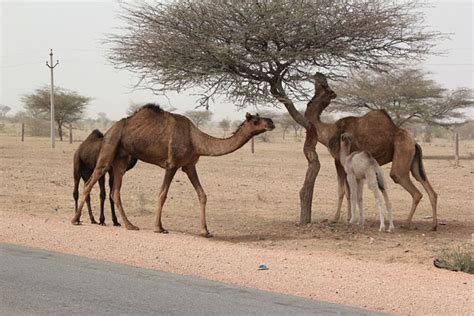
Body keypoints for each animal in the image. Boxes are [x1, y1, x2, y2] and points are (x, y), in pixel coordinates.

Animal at [306, 75, 438, 231]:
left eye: (324, 88)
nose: (316, 76)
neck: (328, 132)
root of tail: (415, 143)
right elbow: (349, 192)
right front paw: (349, 217)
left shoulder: (339, 161)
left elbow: (343, 191)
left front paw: (338, 218)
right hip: (414, 162)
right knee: (429, 189)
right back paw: (433, 225)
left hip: (402, 152)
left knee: (410, 187)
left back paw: (406, 223)